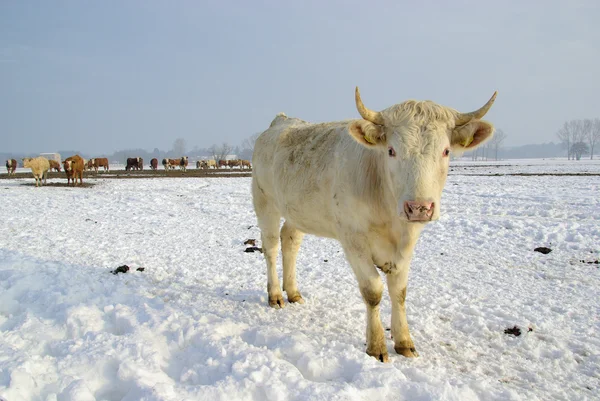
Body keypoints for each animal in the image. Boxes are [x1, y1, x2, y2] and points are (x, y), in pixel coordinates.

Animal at [252, 86, 496, 360]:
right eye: (391, 150)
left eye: (446, 151)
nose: (419, 207)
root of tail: (281, 121)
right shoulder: (352, 238)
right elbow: (373, 290)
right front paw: (377, 345)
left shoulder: (408, 241)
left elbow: (399, 291)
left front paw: (404, 341)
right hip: (264, 202)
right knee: (271, 246)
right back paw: (275, 295)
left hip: (297, 210)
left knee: (290, 241)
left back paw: (293, 291)